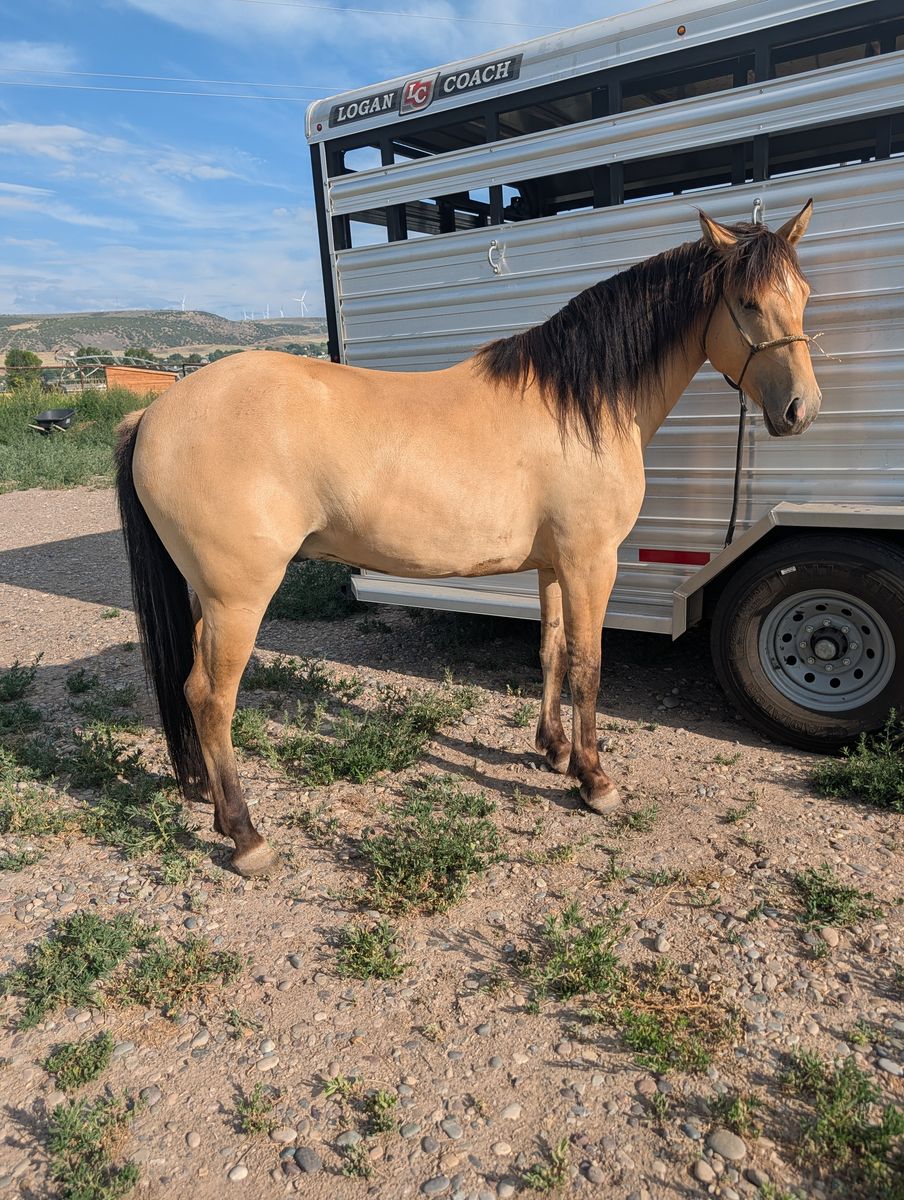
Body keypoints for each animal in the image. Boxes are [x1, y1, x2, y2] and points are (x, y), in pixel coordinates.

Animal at [115, 202, 821, 877]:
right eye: (747, 302)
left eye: (804, 293)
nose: (802, 411)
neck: (581, 403)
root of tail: (154, 412)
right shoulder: (592, 561)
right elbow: (588, 667)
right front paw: (594, 780)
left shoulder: (553, 565)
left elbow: (551, 652)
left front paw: (554, 750)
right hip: (239, 597)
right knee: (212, 697)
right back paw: (246, 836)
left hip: (207, 596)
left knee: (191, 688)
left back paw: (211, 802)